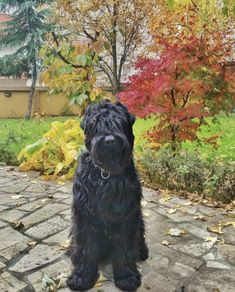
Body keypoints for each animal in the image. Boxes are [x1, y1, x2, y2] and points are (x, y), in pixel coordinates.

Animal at [67, 99, 149, 290]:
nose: (110, 141)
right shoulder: (84, 214)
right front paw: (81, 277)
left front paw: (126, 277)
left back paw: (142, 251)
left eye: (120, 121)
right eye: (95, 123)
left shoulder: (127, 214)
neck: (106, 174)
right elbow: (85, 246)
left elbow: (125, 247)